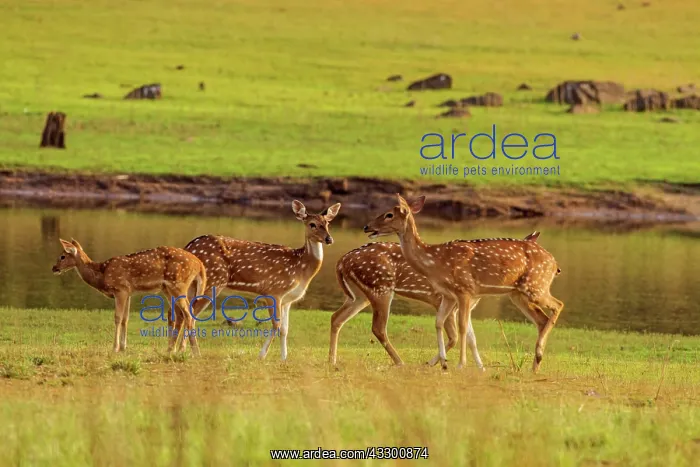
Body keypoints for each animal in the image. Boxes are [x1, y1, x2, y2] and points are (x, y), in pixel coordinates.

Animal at [51, 238, 207, 355]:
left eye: (62, 256)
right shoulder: (129, 292)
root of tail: (199, 264)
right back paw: (171, 350)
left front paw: (114, 348)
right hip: (168, 289)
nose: (54, 268)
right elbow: (126, 319)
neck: (102, 274)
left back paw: (195, 351)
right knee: (178, 315)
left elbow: (118, 318)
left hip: (178, 284)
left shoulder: (120, 289)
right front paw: (123, 347)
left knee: (188, 314)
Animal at [183, 200, 341, 361]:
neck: (300, 268)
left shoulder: (287, 300)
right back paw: (196, 353)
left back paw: (181, 350)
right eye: (312, 224)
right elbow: (276, 325)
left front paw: (284, 359)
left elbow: (285, 329)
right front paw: (262, 355)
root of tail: (189, 247)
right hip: (211, 282)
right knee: (190, 317)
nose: (329, 239)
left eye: (327, 223)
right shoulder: (274, 291)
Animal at [328, 232, 542, 367]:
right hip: (380, 287)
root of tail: (341, 261)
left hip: (360, 295)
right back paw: (400, 362)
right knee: (378, 327)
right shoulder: (444, 300)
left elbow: (469, 336)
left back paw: (332, 360)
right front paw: (434, 363)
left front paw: (477, 366)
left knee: (336, 317)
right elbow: (455, 336)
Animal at [363, 194, 564, 373]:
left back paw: (539, 354)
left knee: (558, 304)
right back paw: (535, 366)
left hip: (536, 286)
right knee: (541, 319)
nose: (366, 226)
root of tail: (555, 263)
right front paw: (444, 363)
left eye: (389, 214)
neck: (435, 262)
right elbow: (438, 322)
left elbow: (462, 327)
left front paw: (460, 365)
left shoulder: (465, 290)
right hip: (518, 293)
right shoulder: (449, 295)